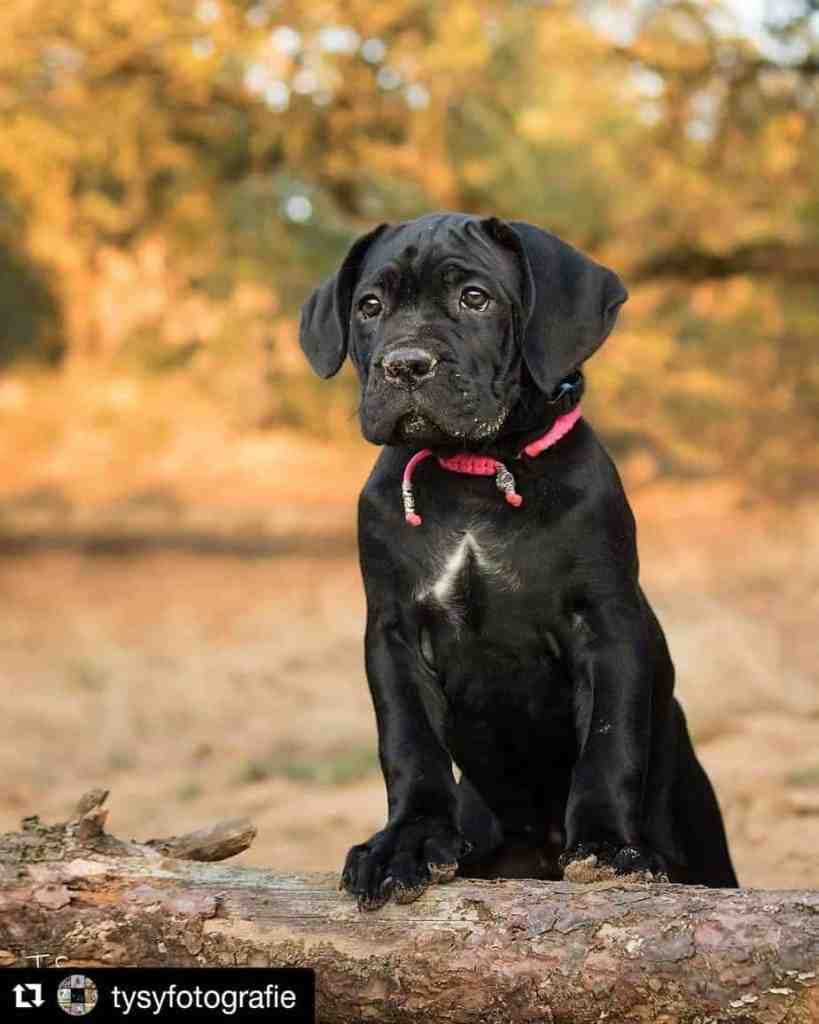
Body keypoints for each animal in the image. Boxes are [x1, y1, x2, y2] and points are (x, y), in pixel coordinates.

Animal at [298, 211, 737, 909]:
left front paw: (608, 846)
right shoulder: (393, 633)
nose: (405, 364)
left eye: (475, 299)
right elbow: (408, 743)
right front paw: (406, 842)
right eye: (369, 307)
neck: (478, 471)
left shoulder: (607, 624)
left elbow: (610, 742)